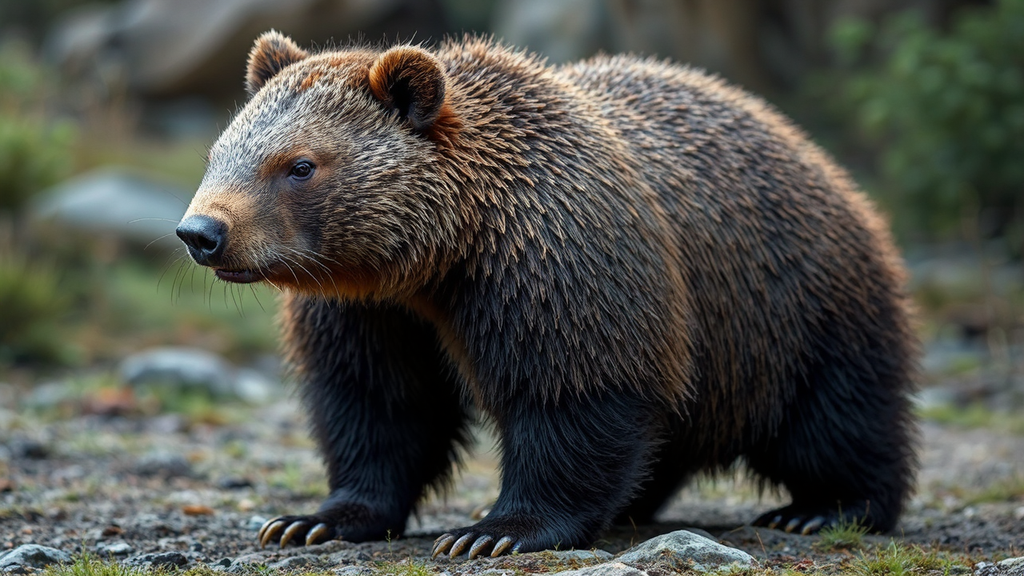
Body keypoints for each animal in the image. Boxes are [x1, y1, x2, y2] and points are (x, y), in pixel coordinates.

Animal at [175, 31, 919, 559]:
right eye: (222, 151)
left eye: (299, 165)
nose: (202, 232)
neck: (436, 260)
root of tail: (811, 151)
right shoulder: (370, 311)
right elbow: (377, 403)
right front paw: (312, 519)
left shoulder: (555, 264)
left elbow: (570, 390)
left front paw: (494, 529)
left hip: (791, 305)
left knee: (835, 414)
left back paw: (821, 508)